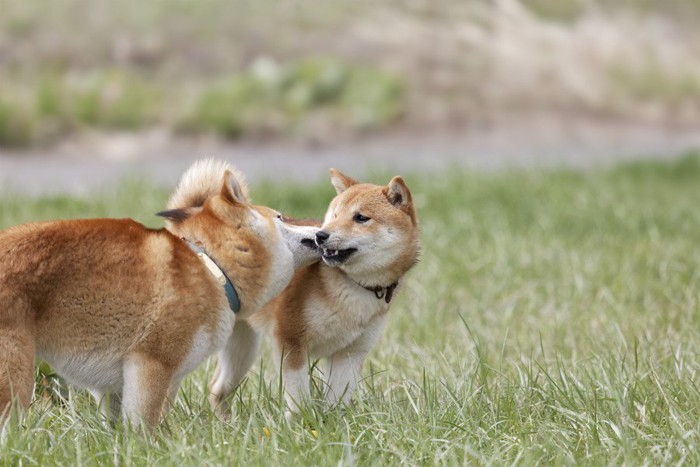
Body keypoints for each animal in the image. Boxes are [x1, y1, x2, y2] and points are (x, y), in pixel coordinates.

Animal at [0, 159, 322, 430]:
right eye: (281, 217)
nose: (321, 230)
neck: (210, 265)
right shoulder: (151, 364)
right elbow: (143, 429)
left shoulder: (114, 388)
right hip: (15, 380)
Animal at [209, 169, 422, 416]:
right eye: (335, 214)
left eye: (361, 217)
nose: (321, 235)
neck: (351, 286)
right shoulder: (290, 342)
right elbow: (298, 398)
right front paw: (301, 422)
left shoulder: (350, 354)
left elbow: (337, 399)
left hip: (242, 351)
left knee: (217, 389)